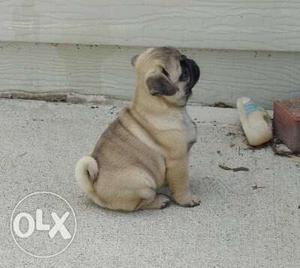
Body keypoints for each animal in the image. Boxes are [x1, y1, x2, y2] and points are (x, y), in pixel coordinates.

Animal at [76, 46, 200, 211]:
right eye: (184, 72)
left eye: (184, 57)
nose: (191, 61)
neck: (163, 106)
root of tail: (94, 190)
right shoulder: (178, 159)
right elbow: (181, 184)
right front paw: (186, 199)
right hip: (143, 179)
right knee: (139, 204)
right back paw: (159, 201)